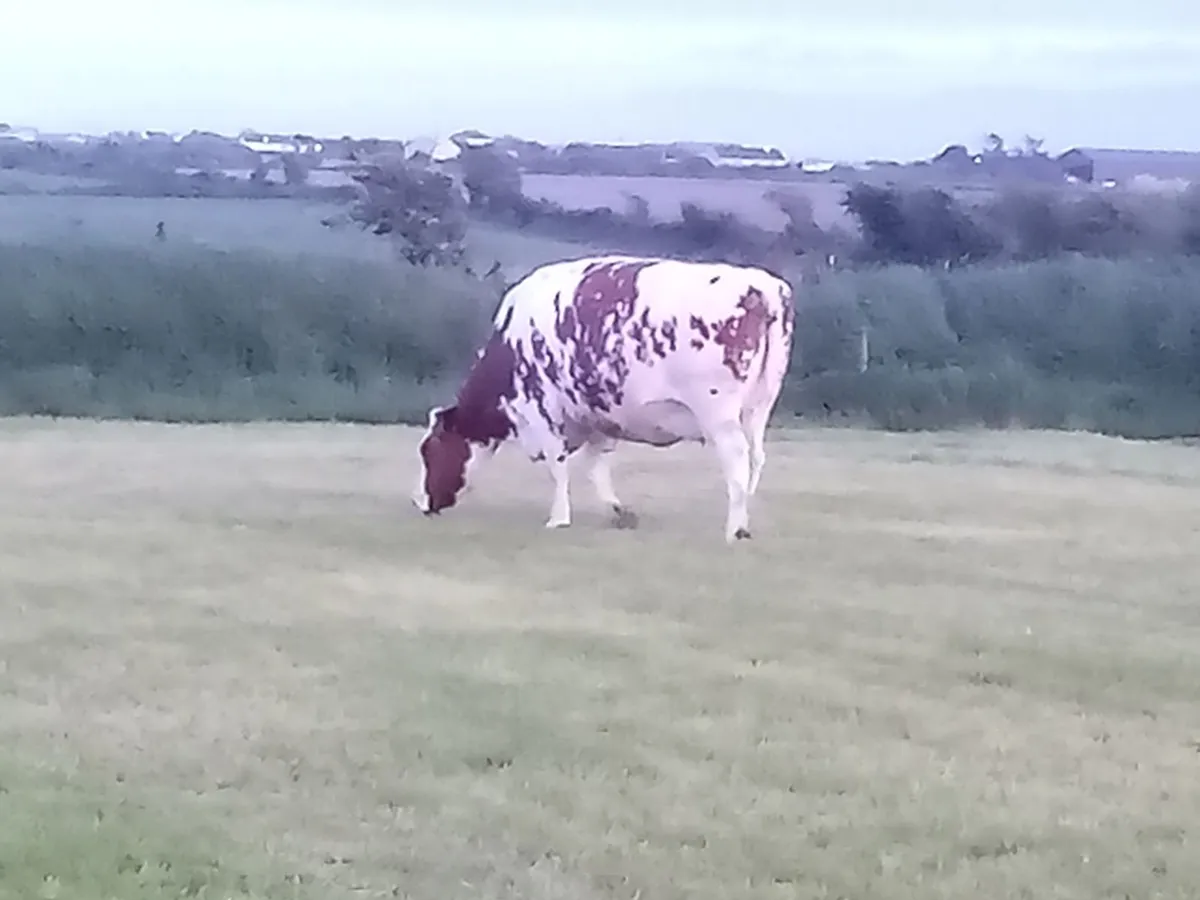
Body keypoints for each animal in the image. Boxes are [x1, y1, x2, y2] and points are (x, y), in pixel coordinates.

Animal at [412, 255, 796, 543]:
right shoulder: (597, 416)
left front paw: (559, 518)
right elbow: (596, 466)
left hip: (718, 412)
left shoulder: (541, 411)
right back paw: (745, 518)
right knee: (756, 459)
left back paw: (734, 529)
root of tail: (761, 286)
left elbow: (558, 467)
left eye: (429, 450)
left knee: (736, 461)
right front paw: (618, 511)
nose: (420, 503)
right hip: (760, 406)